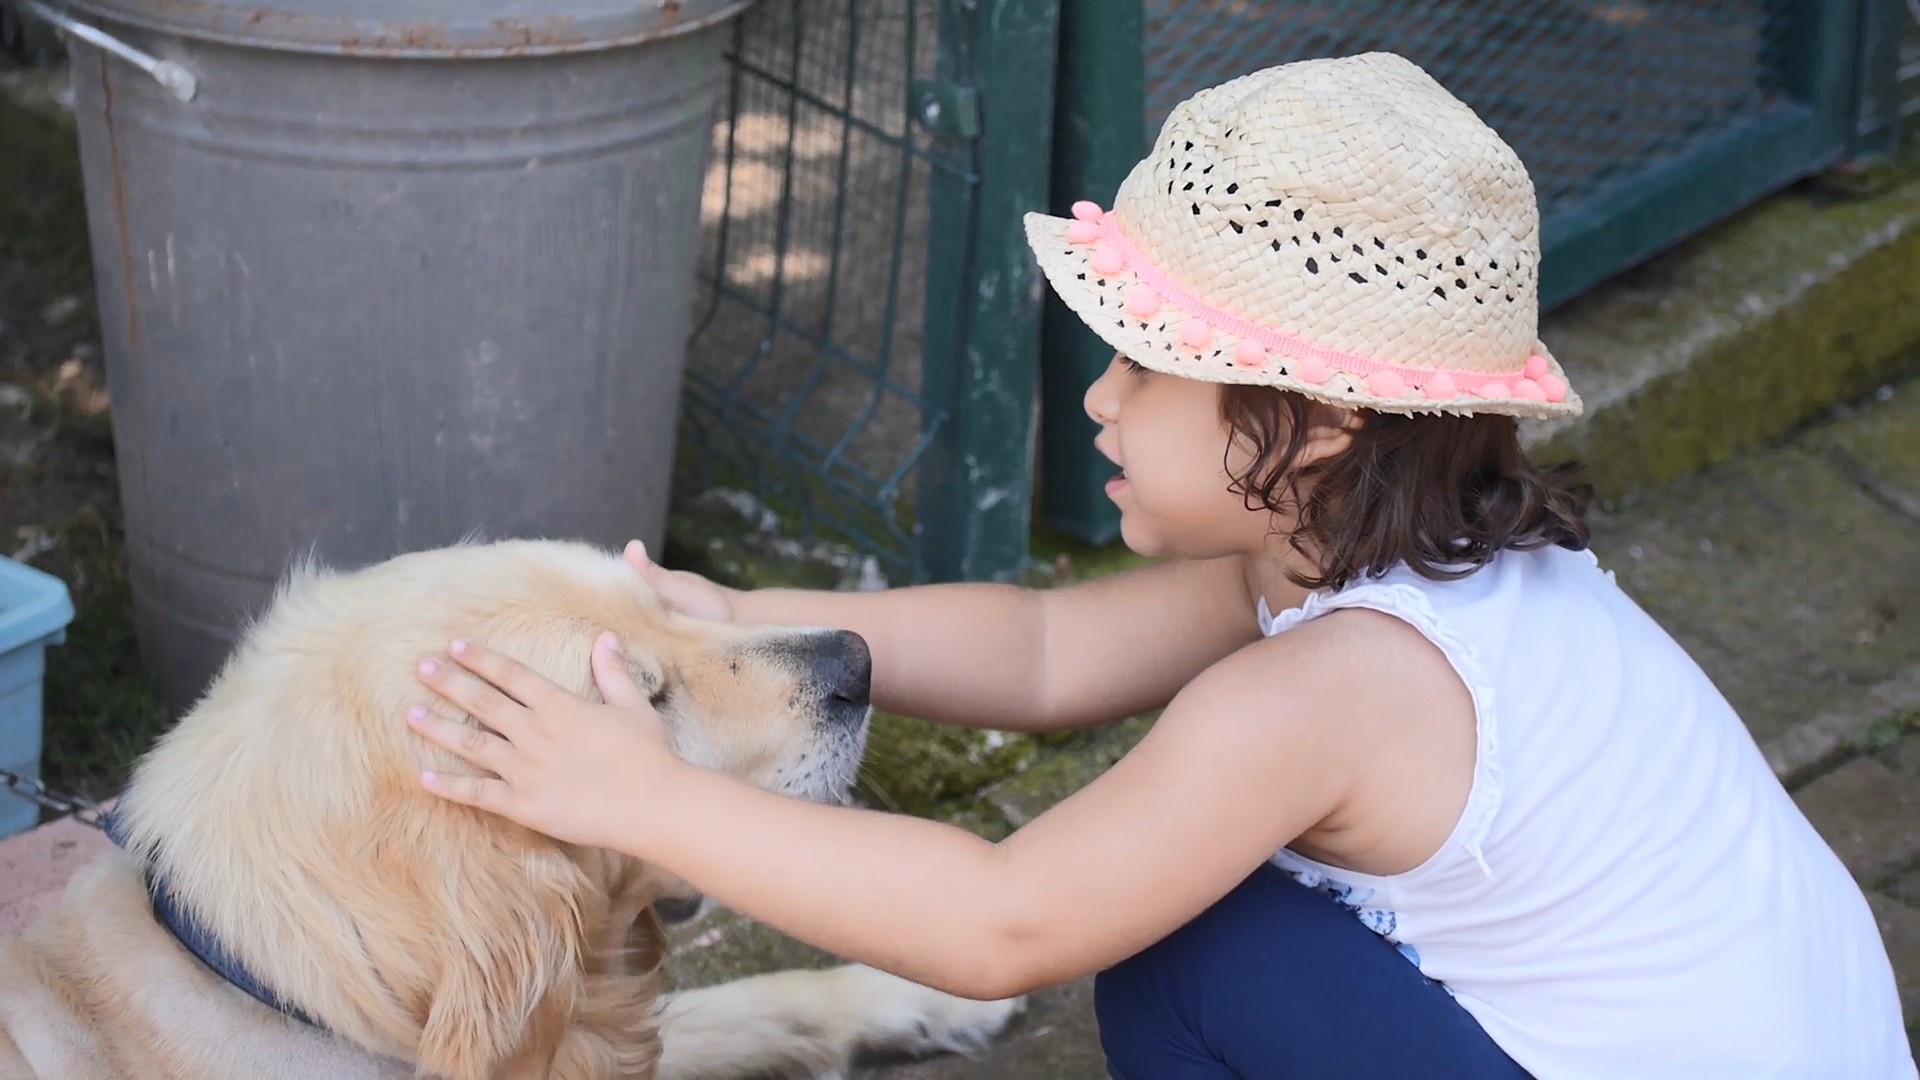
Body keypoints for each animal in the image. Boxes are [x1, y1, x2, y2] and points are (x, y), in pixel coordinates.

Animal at [0, 538, 1029, 1076]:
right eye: (646, 698)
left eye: (669, 605)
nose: (860, 660)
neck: (277, 982)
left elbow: (737, 1003)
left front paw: (918, 990)